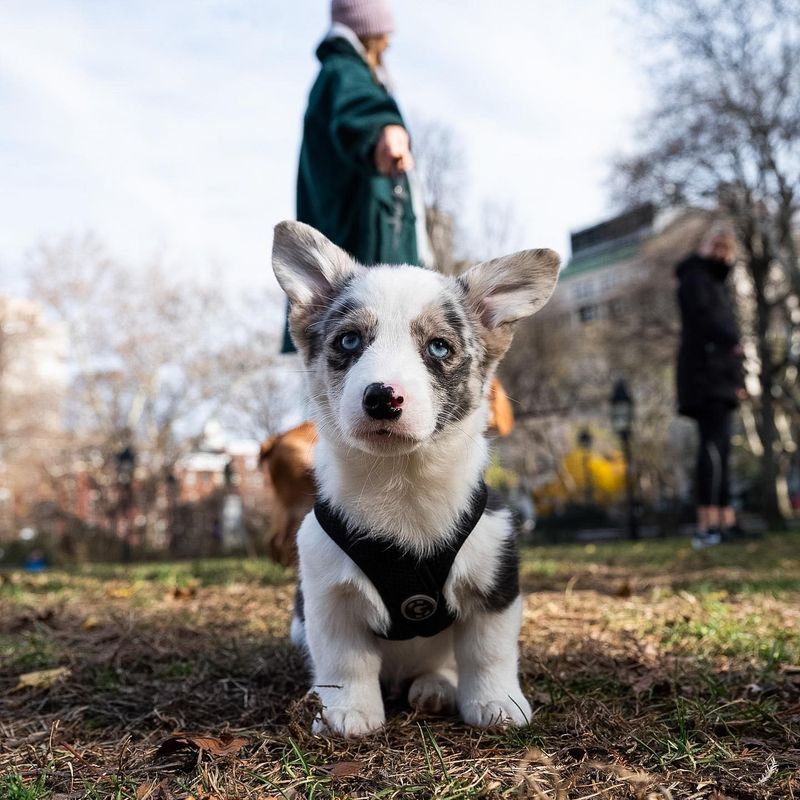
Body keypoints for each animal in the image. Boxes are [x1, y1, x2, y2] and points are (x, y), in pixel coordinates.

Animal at [272, 219, 560, 736]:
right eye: (349, 341)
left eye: (439, 347)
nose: (382, 397)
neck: (401, 480)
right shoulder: (326, 597)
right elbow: (346, 661)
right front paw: (347, 712)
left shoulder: (495, 583)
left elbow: (487, 654)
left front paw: (497, 704)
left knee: (444, 663)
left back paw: (435, 688)